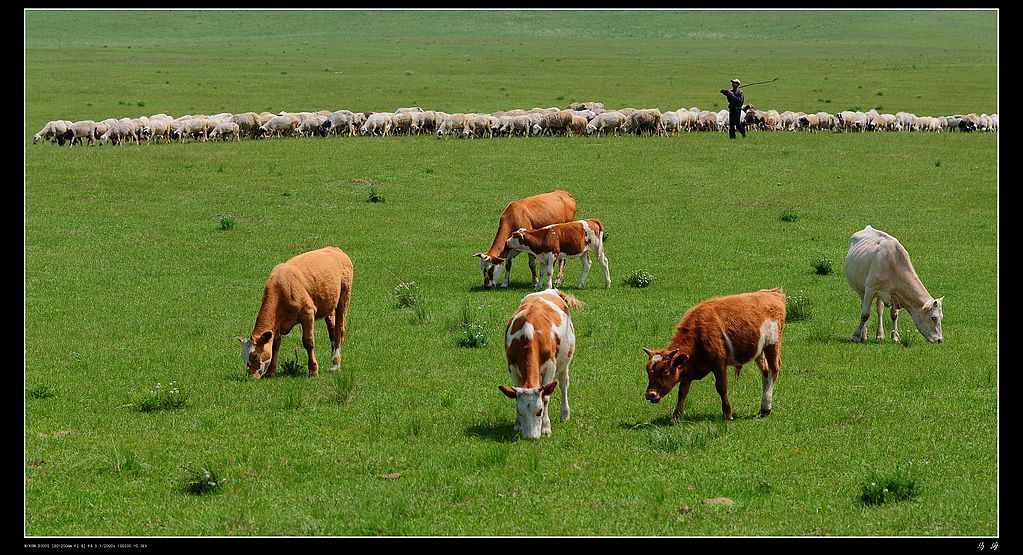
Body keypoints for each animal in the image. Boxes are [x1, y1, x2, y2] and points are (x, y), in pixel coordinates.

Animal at [239, 246, 356, 378]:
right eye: (244, 358)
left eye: (254, 356)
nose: (251, 377)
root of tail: (335, 249)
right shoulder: (277, 323)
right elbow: (275, 345)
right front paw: (271, 371)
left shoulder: (308, 313)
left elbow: (308, 342)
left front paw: (313, 371)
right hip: (329, 303)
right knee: (332, 331)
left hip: (344, 296)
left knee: (339, 330)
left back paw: (335, 365)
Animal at [501, 288, 585, 441]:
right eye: (519, 411)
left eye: (539, 411)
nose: (531, 437)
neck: (528, 334)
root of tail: (551, 290)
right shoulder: (512, 367)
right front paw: (517, 425)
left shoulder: (550, 366)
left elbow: (545, 397)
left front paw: (546, 428)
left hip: (565, 361)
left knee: (563, 383)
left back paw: (565, 414)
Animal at [642, 288, 785, 423]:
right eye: (648, 371)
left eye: (665, 371)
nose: (650, 394)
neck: (699, 332)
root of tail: (773, 293)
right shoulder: (686, 371)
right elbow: (682, 392)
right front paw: (676, 417)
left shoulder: (719, 364)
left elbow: (721, 388)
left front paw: (728, 414)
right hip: (759, 352)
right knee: (765, 373)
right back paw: (762, 409)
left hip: (772, 345)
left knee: (773, 371)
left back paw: (766, 407)